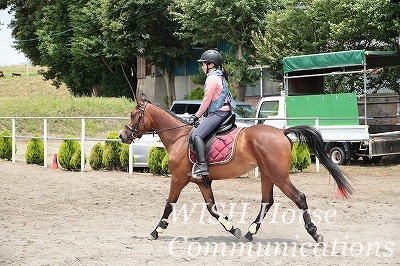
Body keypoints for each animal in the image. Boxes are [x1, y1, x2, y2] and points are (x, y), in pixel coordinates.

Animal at [119, 96, 354, 244]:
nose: (122, 135)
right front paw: (234, 230)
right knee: (266, 202)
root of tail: (282, 132)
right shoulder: (202, 182)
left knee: (299, 198)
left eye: (132, 114)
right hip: (267, 175)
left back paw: (315, 234)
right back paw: (249, 233)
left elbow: (169, 205)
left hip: (278, 176)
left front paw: (155, 232)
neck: (178, 137)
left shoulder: (177, 179)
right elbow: (212, 209)